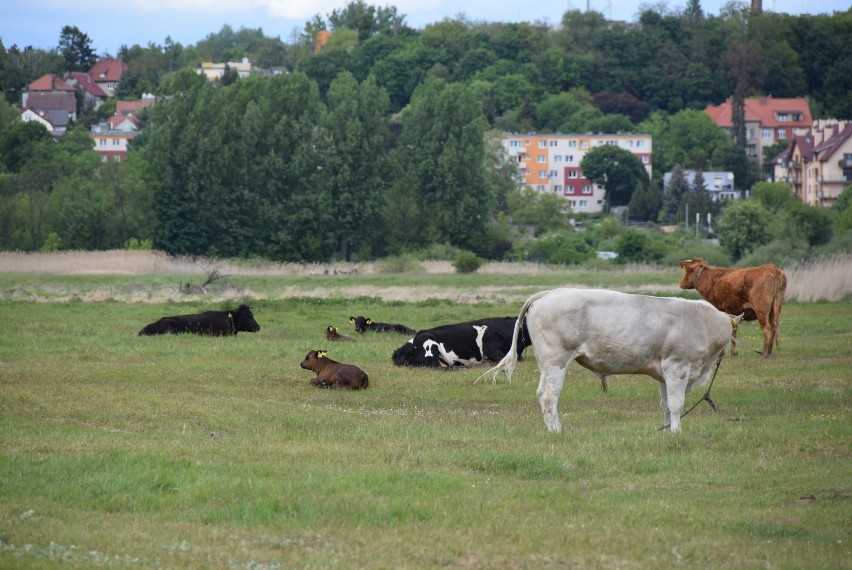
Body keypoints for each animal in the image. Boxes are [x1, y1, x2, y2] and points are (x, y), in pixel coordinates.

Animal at [482, 288, 744, 430]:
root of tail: (550, 293)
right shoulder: (677, 367)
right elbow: (676, 404)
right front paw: (677, 432)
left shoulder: (663, 374)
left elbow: (666, 406)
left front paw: (668, 430)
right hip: (557, 360)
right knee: (549, 396)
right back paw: (556, 430)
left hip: (545, 363)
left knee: (540, 393)